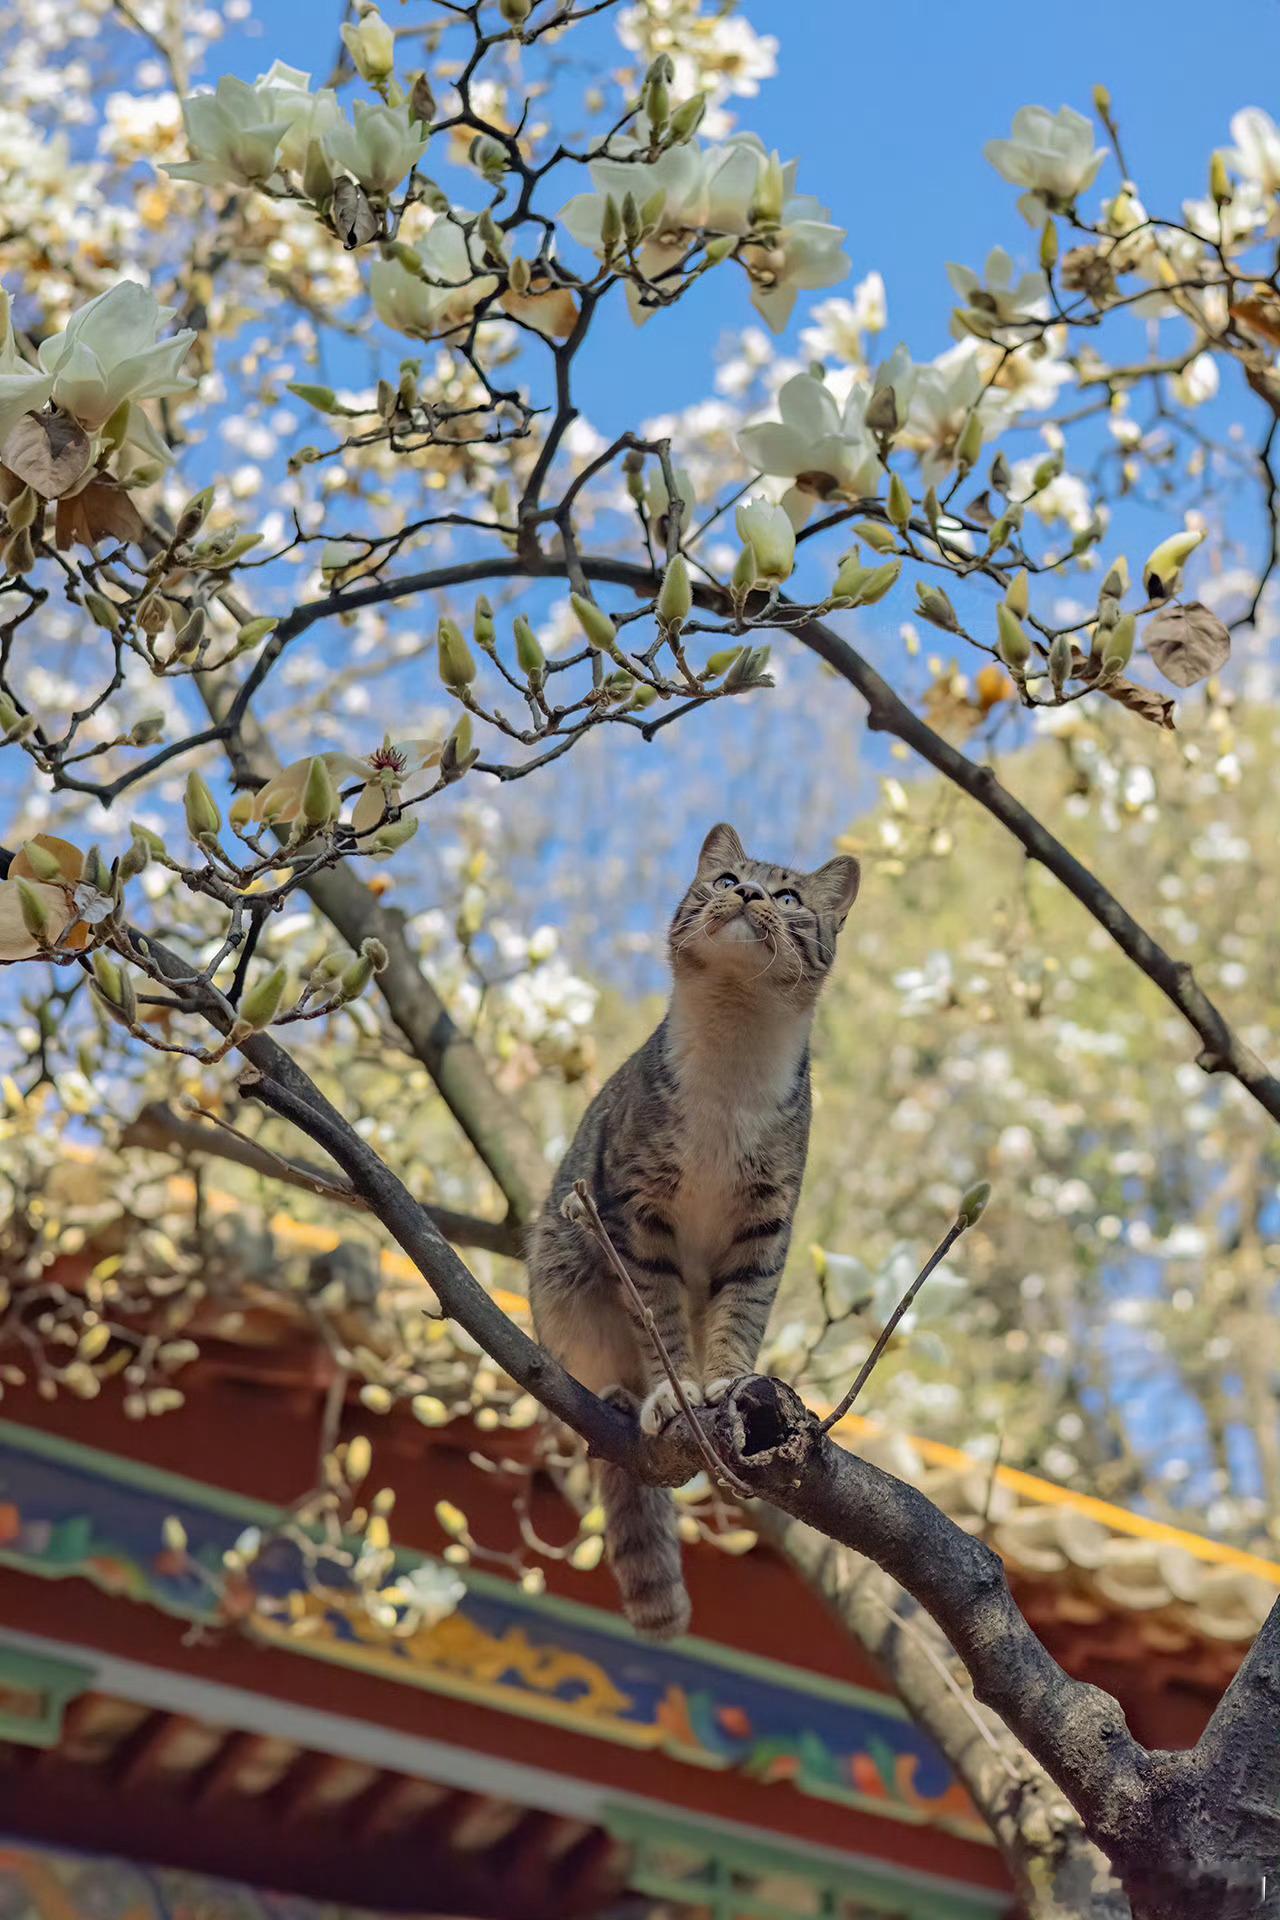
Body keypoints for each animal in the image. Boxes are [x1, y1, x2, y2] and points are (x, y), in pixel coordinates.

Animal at [529, 817, 859, 1643]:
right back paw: (619, 1395)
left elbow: (740, 1314)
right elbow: (662, 1323)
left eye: (788, 897)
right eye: (726, 880)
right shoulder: (637, 1215)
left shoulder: (765, 1223)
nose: (747, 896)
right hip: (565, 1273)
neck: (733, 1051)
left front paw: (723, 1379)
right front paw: (671, 1393)